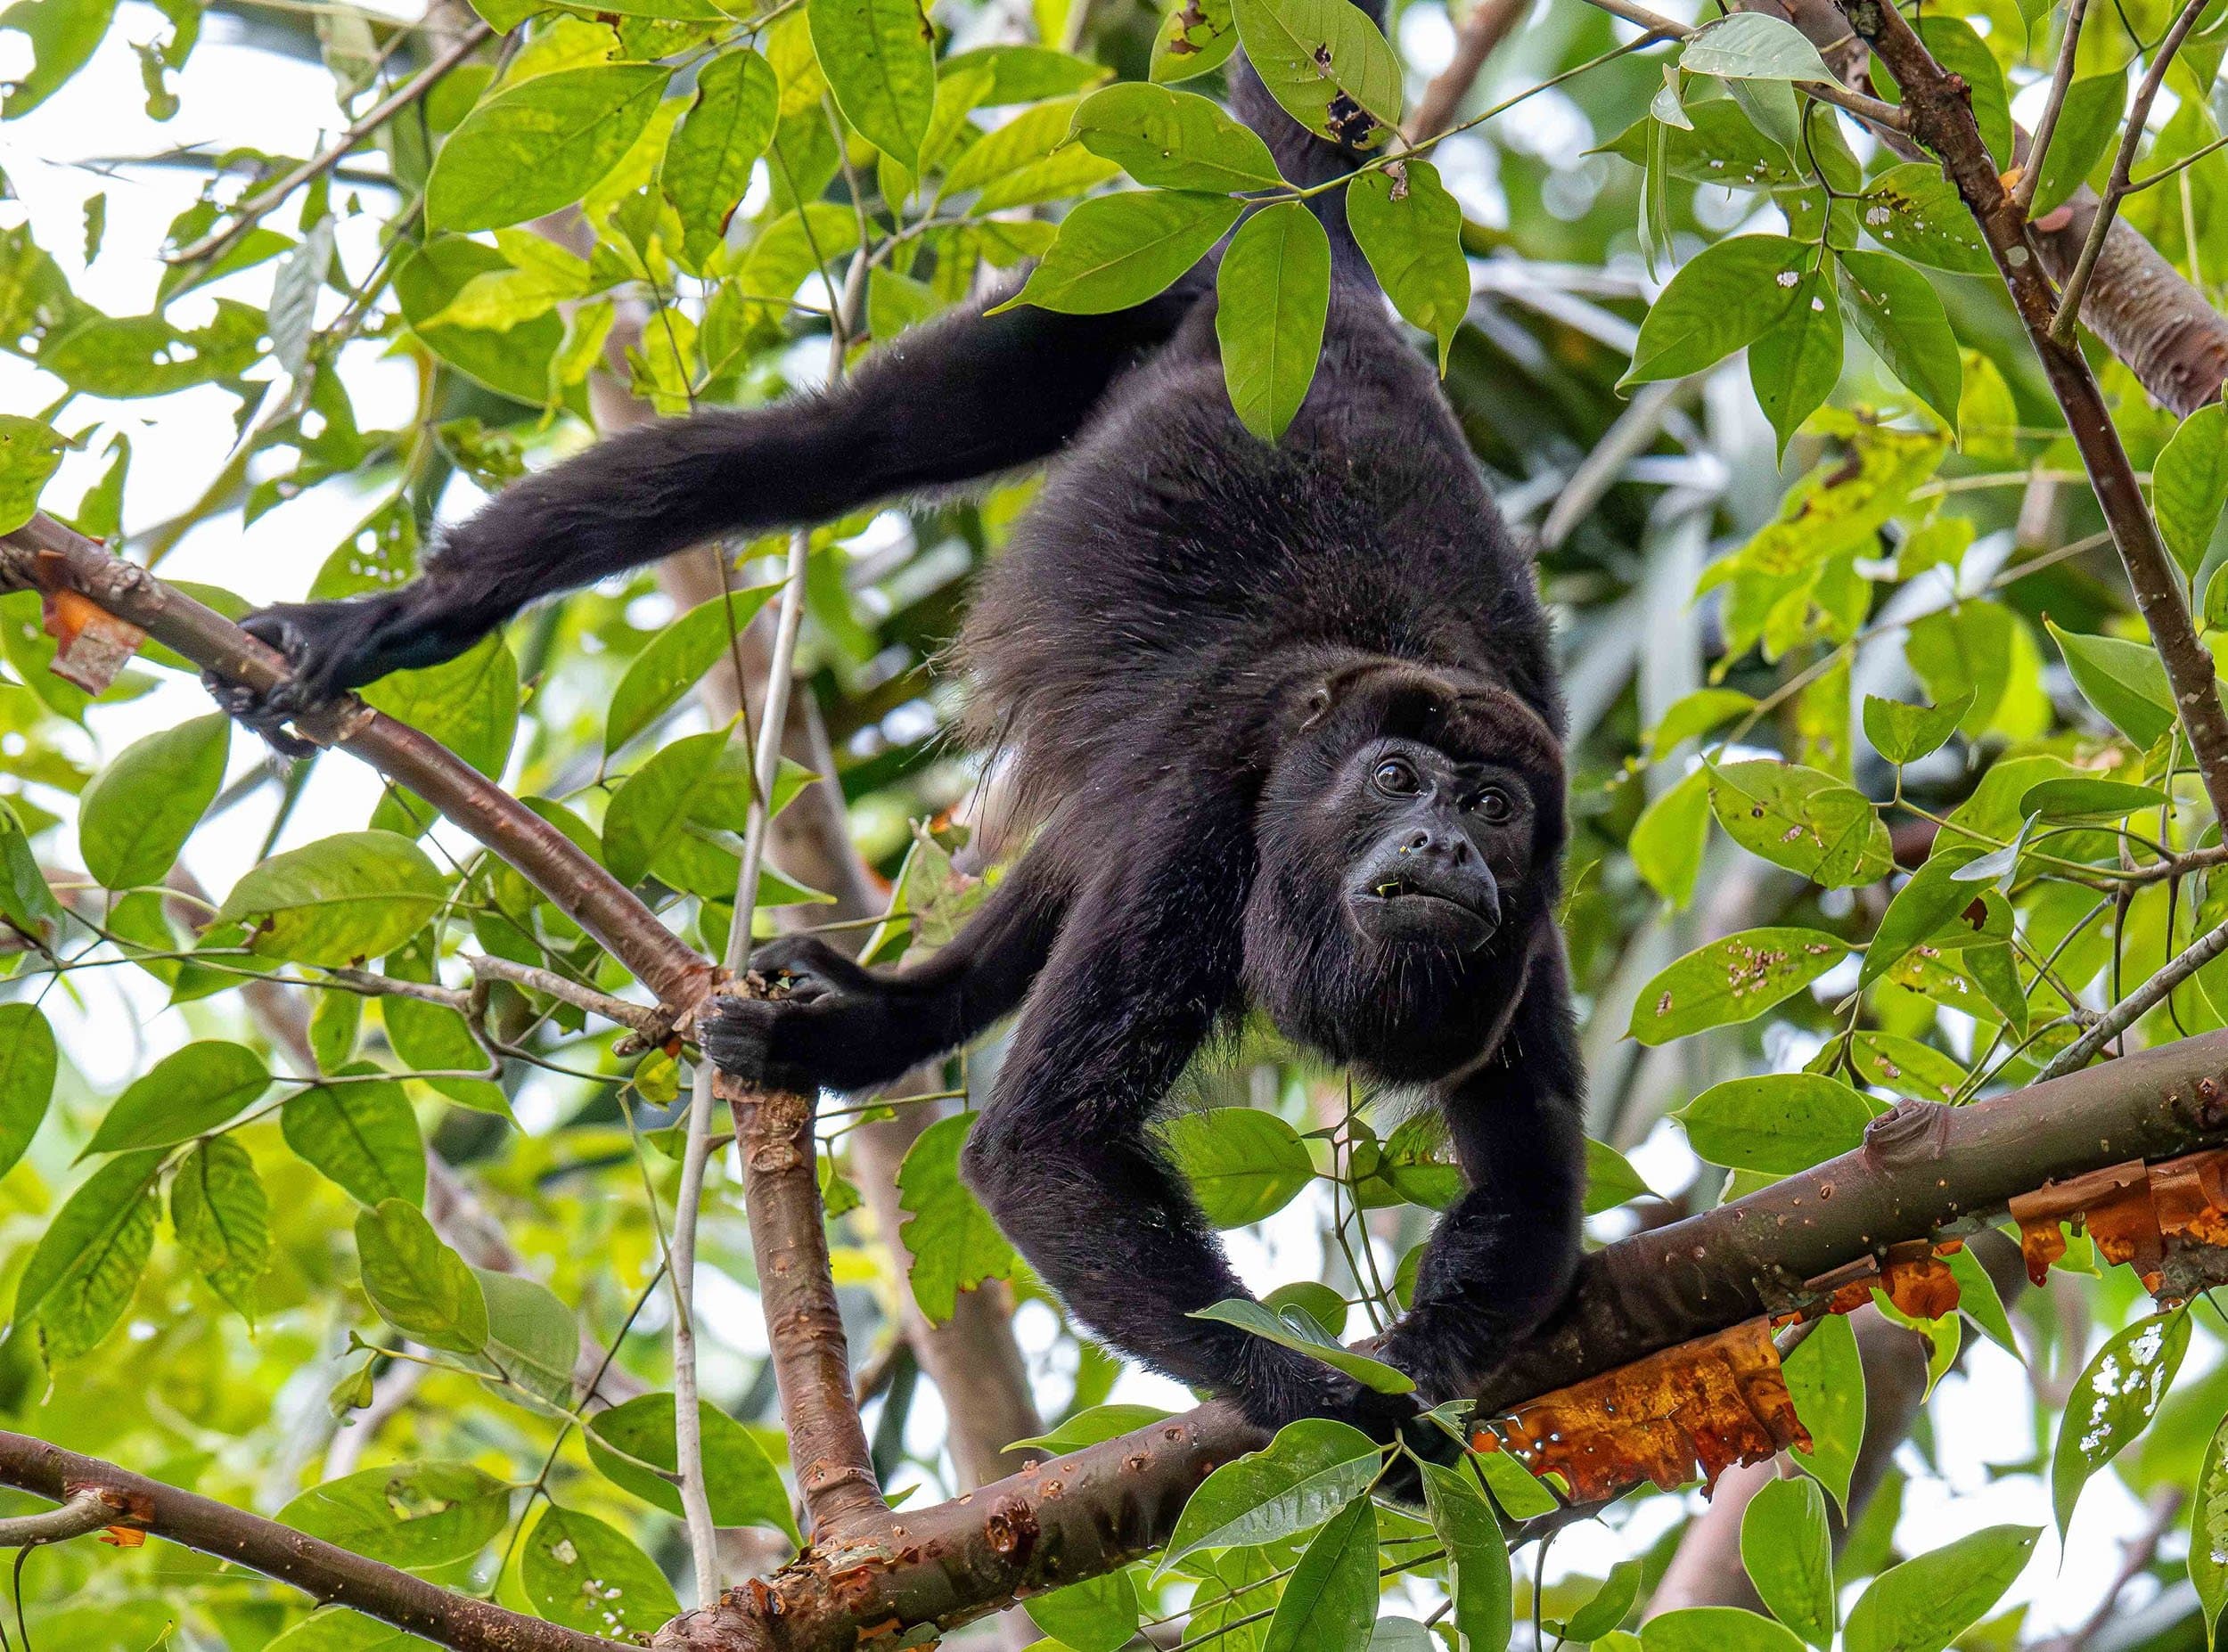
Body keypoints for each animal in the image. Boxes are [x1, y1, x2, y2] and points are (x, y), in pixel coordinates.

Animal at [216, 0, 1586, 1449]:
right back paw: (413, 613)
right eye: (1395, 779)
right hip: (1111, 285)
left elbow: (1531, 1186)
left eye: (1490, 806)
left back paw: (875, 1027)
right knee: (839, 445)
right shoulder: (1209, 819)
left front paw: (1430, 1367)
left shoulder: (1526, 920)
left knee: (1059, 853)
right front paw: (1344, 1408)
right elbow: (1040, 1151)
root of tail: (1312, 256)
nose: (1445, 848)